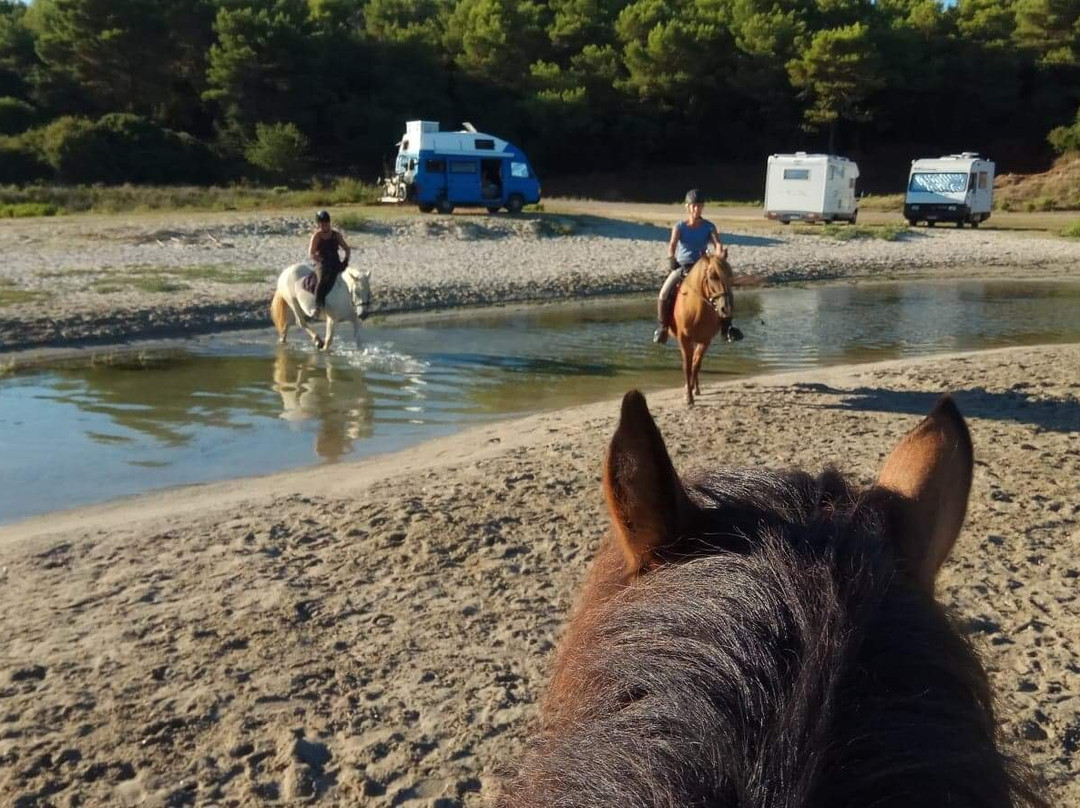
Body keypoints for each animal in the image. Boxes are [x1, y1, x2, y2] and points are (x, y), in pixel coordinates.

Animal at [669, 248, 738, 406]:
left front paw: (691, 392)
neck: (696, 310)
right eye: (712, 276)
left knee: (695, 360)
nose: (725, 309)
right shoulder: (684, 339)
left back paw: (696, 388)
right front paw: (688, 396)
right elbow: (687, 366)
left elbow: (696, 365)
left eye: (730, 276)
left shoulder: (706, 340)